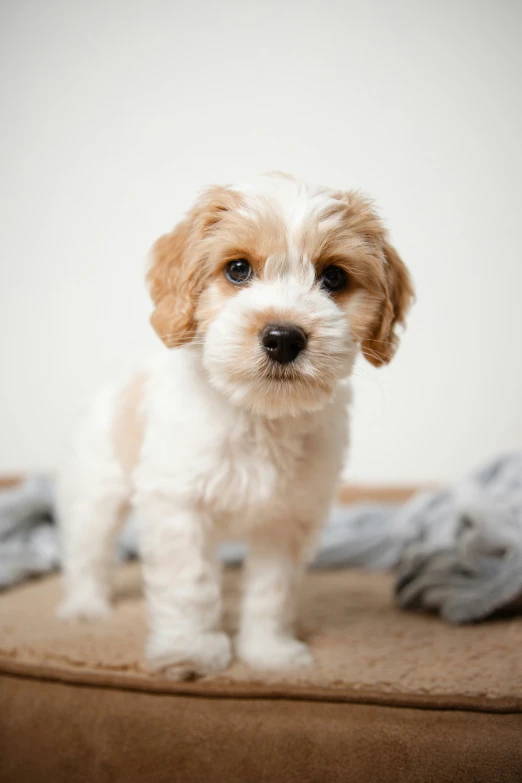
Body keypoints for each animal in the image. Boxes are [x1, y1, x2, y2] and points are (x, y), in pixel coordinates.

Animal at [57, 173, 412, 680]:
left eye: (334, 277)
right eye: (238, 269)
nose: (283, 337)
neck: (258, 415)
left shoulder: (285, 520)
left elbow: (271, 593)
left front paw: (268, 653)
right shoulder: (179, 507)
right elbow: (189, 585)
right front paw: (189, 652)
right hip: (96, 492)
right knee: (87, 551)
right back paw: (85, 608)